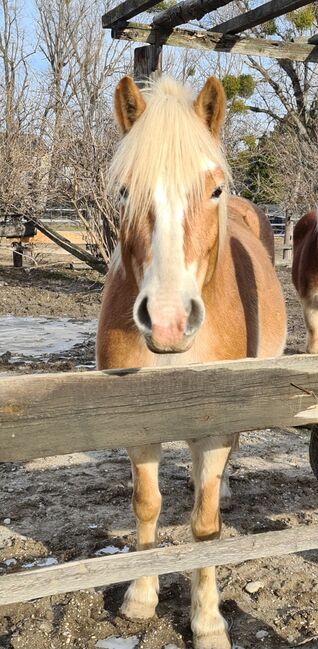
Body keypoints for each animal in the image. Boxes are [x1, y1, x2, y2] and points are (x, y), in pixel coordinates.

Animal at [95, 77, 286, 648]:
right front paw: (140, 596)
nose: (168, 320)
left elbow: (205, 525)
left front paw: (207, 622)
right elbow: (148, 504)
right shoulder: (138, 424)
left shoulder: (214, 429)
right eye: (125, 192)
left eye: (214, 190)